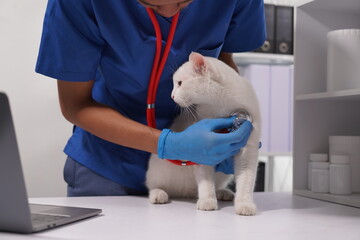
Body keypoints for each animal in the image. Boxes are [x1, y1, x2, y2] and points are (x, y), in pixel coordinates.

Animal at [146, 52, 262, 216]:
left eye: (179, 83)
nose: (172, 96)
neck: (220, 106)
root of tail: (186, 193)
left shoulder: (248, 151)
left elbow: (246, 181)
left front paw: (244, 204)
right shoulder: (203, 151)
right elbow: (206, 182)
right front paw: (207, 200)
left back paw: (222, 192)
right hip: (158, 167)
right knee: (153, 184)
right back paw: (158, 193)